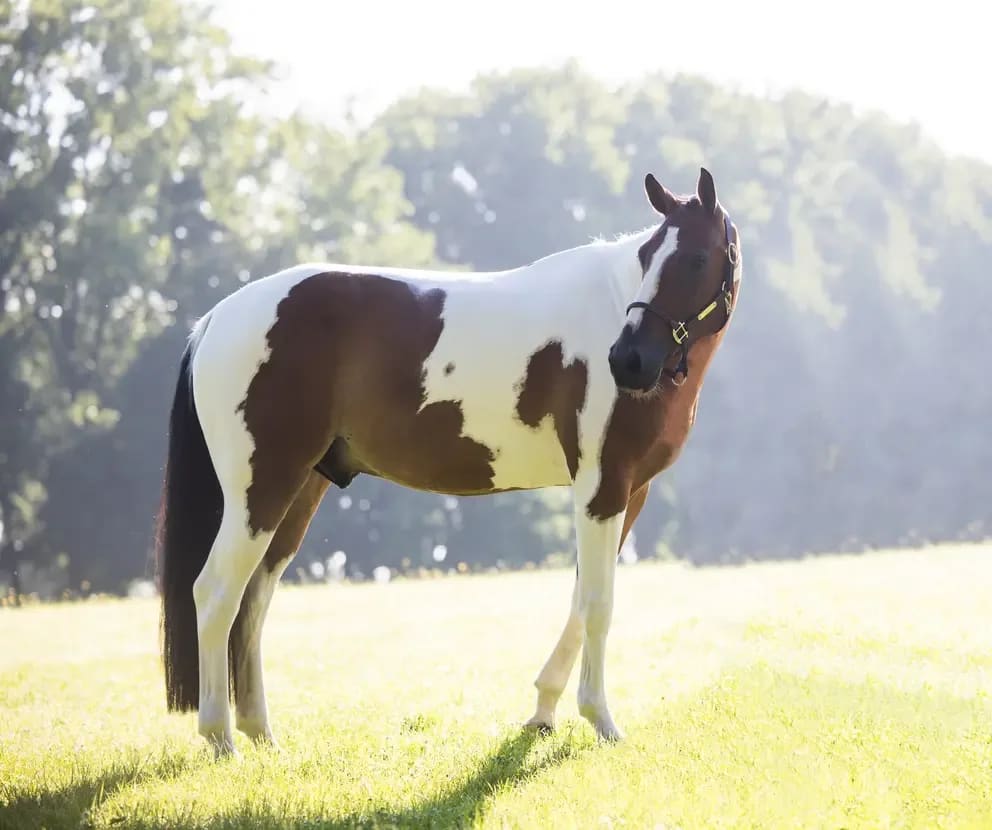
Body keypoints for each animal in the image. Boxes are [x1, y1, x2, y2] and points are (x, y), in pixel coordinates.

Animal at [156, 166, 743, 756]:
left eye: (695, 258)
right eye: (647, 255)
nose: (627, 360)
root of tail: (217, 318)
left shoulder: (627, 493)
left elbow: (579, 600)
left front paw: (543, 711)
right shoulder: (602, 489)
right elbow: (598, 603)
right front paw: (601, 721)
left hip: (298, 491)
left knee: (253, 600)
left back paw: (261, 735)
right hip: (260, 489)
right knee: (216, 595)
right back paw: (220, 738)